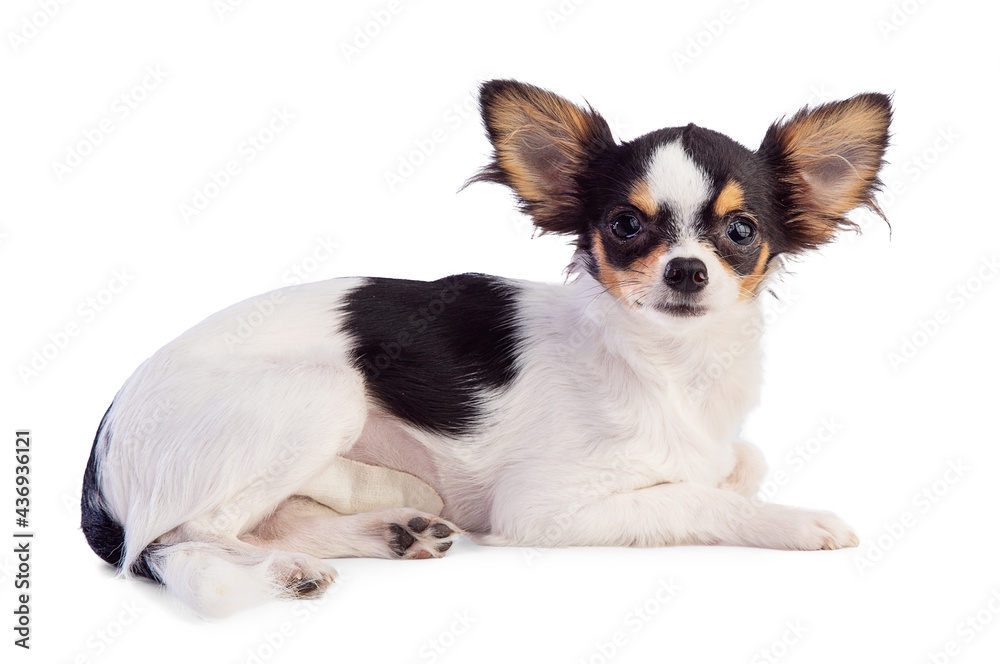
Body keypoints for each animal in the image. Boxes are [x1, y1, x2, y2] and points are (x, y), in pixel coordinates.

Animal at [80, 79, 892, 616]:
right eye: (626, 225)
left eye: (742, 231)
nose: (687, 271)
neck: (669, 366)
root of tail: (106, 437)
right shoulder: (542, 511)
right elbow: (696, 497)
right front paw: (796, 521)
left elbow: (740, 463)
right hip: (321, 396)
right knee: (181, 541)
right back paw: (289, 567)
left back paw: (391, 524)